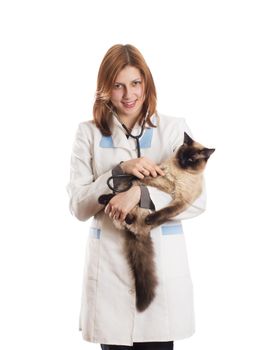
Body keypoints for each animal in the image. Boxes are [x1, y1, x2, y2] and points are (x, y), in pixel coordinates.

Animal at [98, 132, 214, 312]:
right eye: (182, 154)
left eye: (191, 159)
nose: (183, 161)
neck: (179, 173)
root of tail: (136, 232)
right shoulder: (154, 173)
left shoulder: (182, 201)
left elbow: (165, 211)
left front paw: (150, 218)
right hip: (128, 186)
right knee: (116, 199)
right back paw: (104, 199)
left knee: (128, 216)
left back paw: (138, 217)